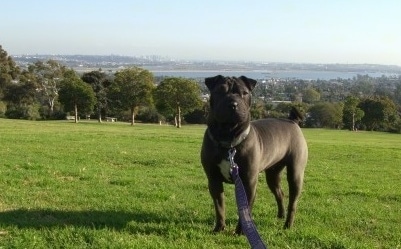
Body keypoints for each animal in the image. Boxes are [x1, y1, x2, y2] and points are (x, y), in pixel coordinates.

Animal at [199, 74, 306, 233]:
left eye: (244, 93)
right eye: (220, 91)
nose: (233, 104)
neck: (228, 138)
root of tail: (292, 121)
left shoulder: (248, 182)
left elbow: (245, 209)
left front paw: (241, 231)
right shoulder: (213, 180)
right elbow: (219, 206)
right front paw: (219, 228)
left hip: (295, 173)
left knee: (293, 201)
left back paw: (288, 224)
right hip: (273, 174)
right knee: (280, 193)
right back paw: (280, 216)